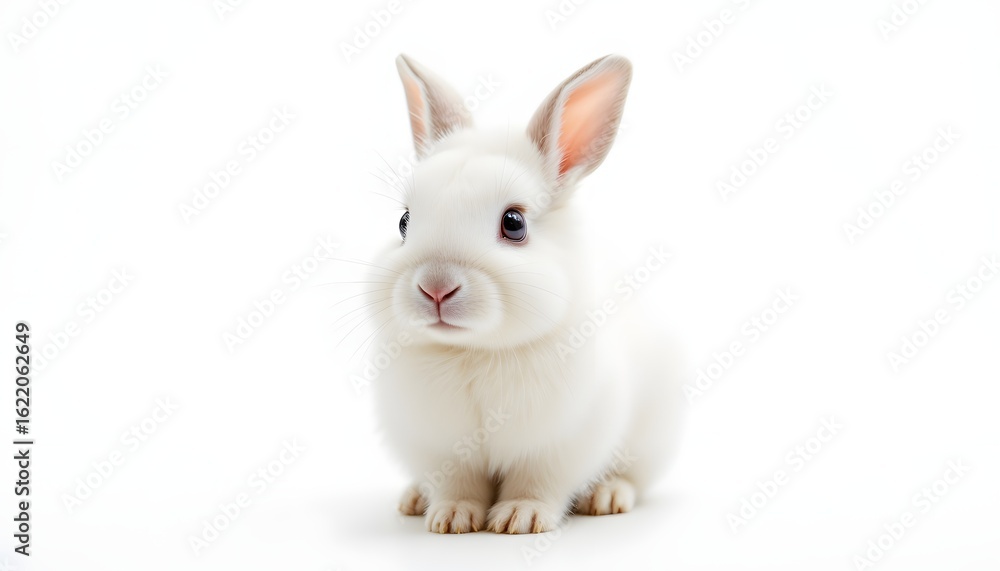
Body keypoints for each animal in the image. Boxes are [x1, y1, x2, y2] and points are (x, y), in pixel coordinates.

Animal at [362, 54, 683, 534]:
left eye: (514, 223)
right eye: (403, 222)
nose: (435, 286)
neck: (475, 352)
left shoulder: (559, 444)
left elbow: (537, 483)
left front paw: (520, 518)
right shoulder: (442, 449)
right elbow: (458, 484)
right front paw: (451, 519)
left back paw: (608, 497)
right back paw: (414, 499)